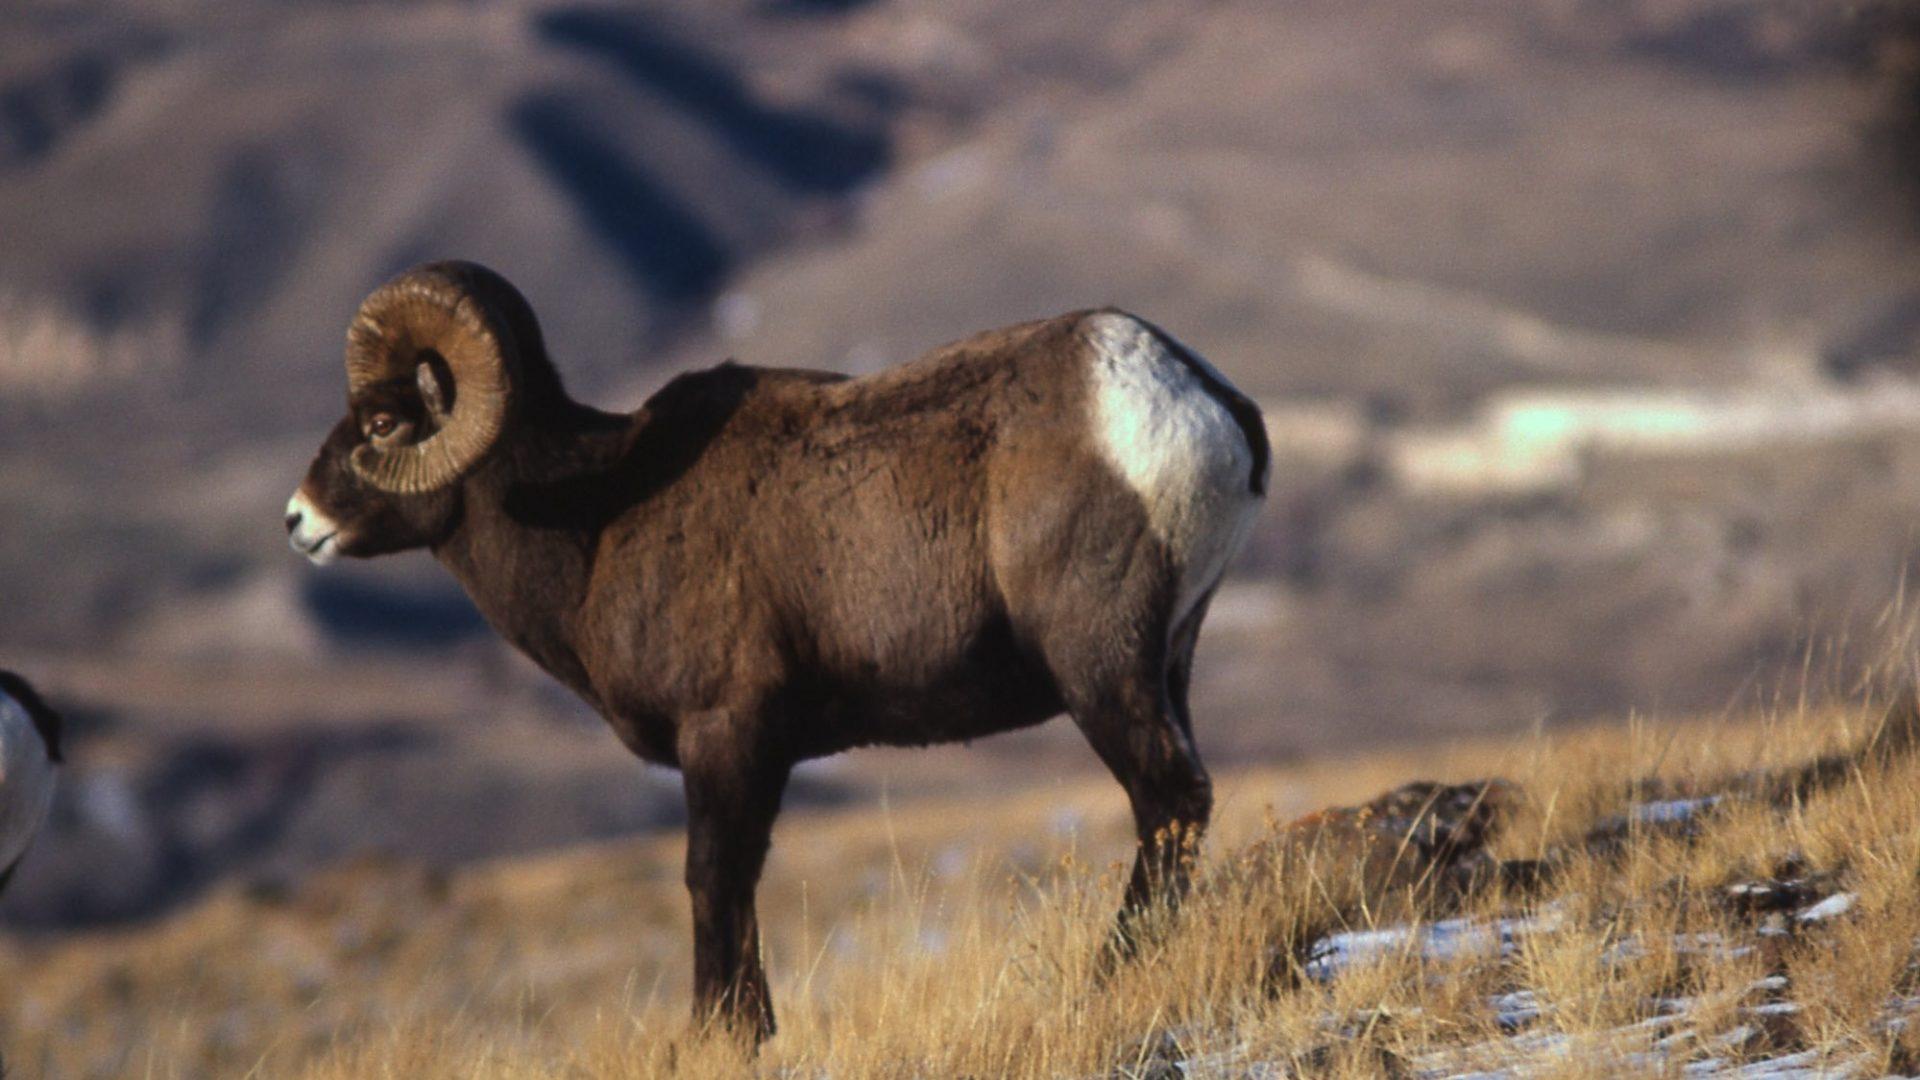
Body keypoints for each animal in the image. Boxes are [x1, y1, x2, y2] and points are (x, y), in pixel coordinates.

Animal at [284, 261, 1268, 1039]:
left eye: (380, 424)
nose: (299, 521)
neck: (597, 520)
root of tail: (1201, 401)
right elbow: (741, 881)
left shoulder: (725, 735)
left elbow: (712, 878)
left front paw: (720, 1035)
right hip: (1167, 666)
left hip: (1101, 671)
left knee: (1168, 800)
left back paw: (1107, 977)